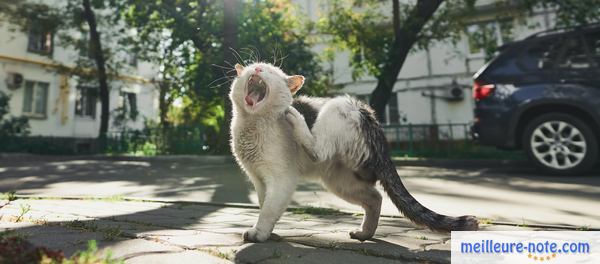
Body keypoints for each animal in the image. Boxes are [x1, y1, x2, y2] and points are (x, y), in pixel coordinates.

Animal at [230, 62, 478, 243]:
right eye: (253, 66)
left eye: (270, 71)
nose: (258, 70)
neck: (252, 125)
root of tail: (372, 119)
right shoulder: (259, 180)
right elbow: (265, 204)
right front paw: (268, 231)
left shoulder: (282, 179)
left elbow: (269, 209)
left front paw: (259, 233)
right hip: (340, 181)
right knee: (375, 198)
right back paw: (365, 233)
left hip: (337, 107)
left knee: (318, 150)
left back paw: (295, 117)